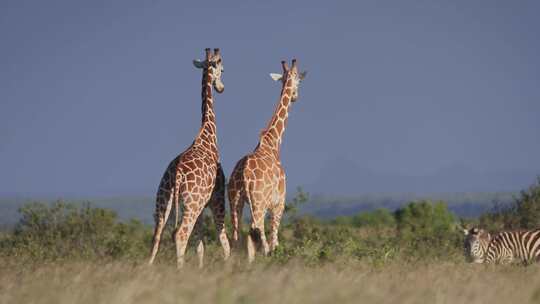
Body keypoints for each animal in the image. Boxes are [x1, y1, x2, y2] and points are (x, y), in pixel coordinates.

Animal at [149, 48, 231, 270]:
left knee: (157, 236)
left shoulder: (202, 204)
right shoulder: (216, 198)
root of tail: (177, 175)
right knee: (180, 234)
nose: (221, 88)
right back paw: (180, 270)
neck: (208, 134)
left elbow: (200, 244)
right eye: (222, 69)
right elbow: (224, 241)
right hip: (192, 203)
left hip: (164, 200)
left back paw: (147, 268)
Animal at [226, 60, 306, 264]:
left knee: (237, 236)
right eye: (298, 81)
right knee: (258, 231)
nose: (295, 96)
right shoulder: (279, 203)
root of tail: (244, 176)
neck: (273, 141)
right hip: (258, 202)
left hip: (234, 200)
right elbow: (275, 238)